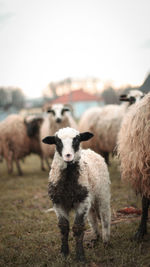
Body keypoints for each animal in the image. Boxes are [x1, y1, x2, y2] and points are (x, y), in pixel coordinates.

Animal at [42, 127, 110, 262]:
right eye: (57, 141)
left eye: (77, 139)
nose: (68, 156)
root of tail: (89, 151)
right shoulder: (58, 203)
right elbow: (63, 227)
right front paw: (64, 253)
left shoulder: (82, 202)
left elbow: (78, 228)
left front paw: (80, 257)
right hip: (89, 198)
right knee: (93, 217)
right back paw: (95, 238)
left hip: (102, 193)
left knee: (105, 215)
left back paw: (106, 241)